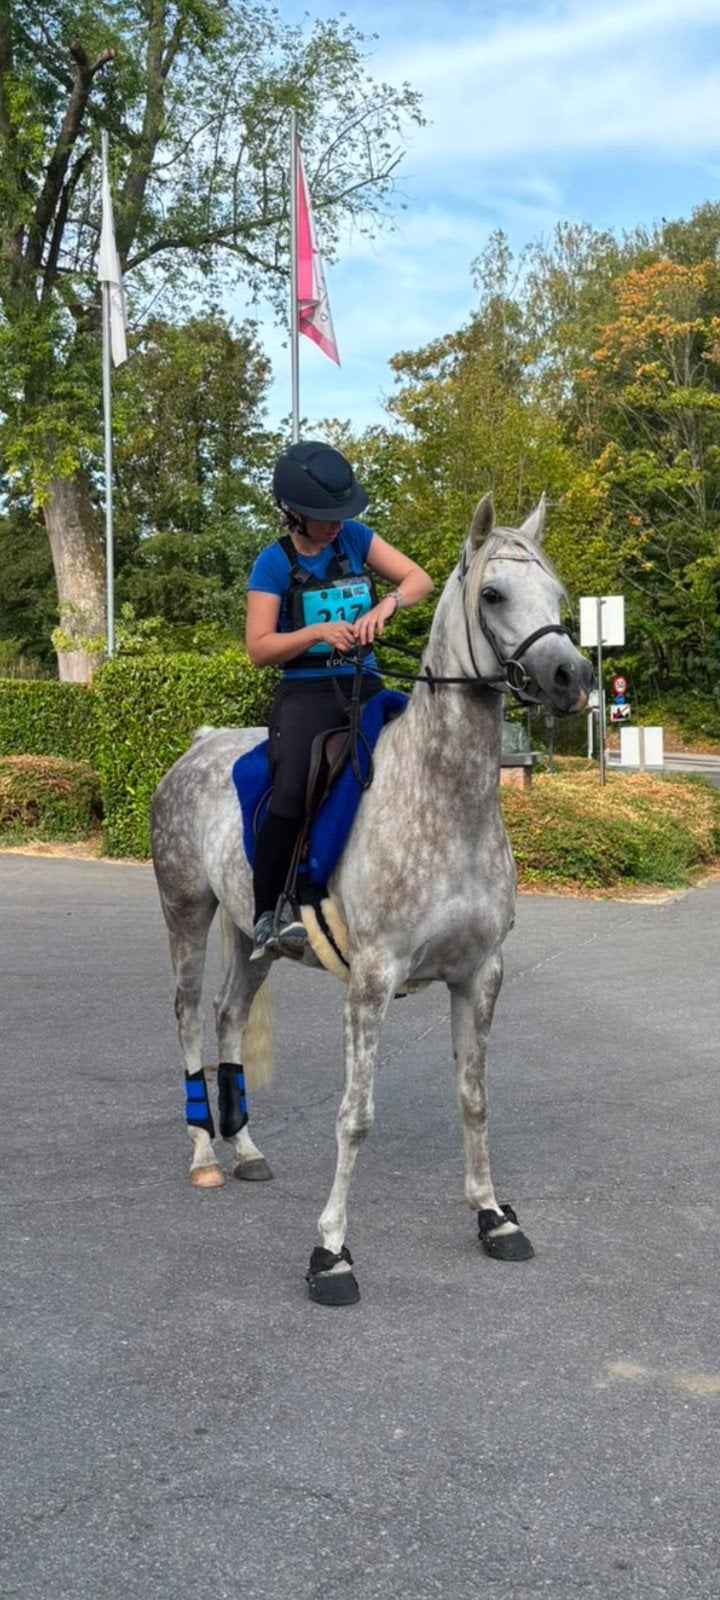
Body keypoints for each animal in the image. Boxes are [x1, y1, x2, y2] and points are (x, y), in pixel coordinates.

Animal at [150, 492, 592, 1305]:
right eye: (492, 594)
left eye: (557, 593)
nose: (569, 675)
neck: (444, 801)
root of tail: (198, 744)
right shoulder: (371, 982)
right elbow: (355, 1117)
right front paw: (331, 1252)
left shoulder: (480, 975)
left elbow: (473, 1097)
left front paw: (493, 1217)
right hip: (186, 912)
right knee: (191, 1014)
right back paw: (203, 1152)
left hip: (250, 936)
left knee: (229, 1015)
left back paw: (245, 1147)